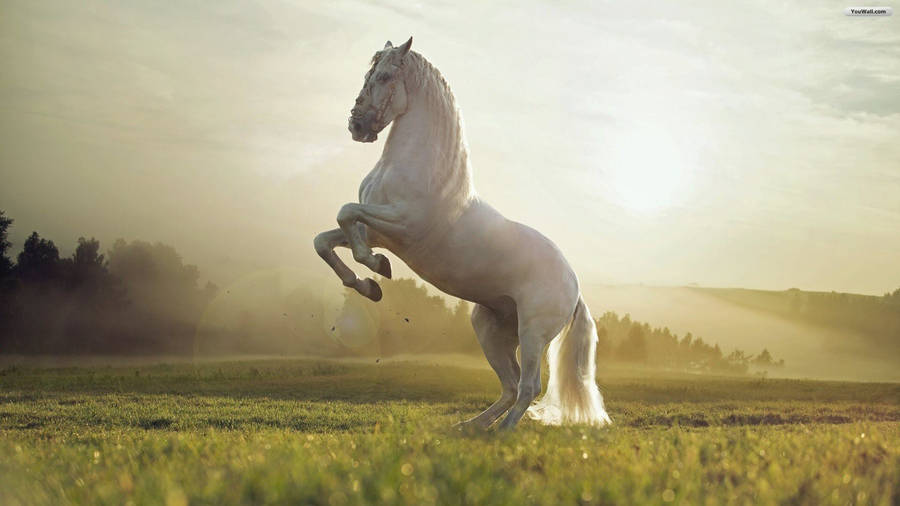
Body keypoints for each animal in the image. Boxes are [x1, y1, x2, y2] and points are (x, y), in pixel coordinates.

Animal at [314, 37, 611, 430]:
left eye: (386, 76)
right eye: (368, 74)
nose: (357, 125)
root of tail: (573, 286)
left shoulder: (402, 225)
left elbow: (346, 213)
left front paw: (376, 268)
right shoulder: (376, 231)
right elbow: (326, 240)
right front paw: (368, 285)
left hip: (533, 333)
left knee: (528, 386)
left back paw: (501, 434)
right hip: (489, 328)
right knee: (510, 386)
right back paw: (469, 428)